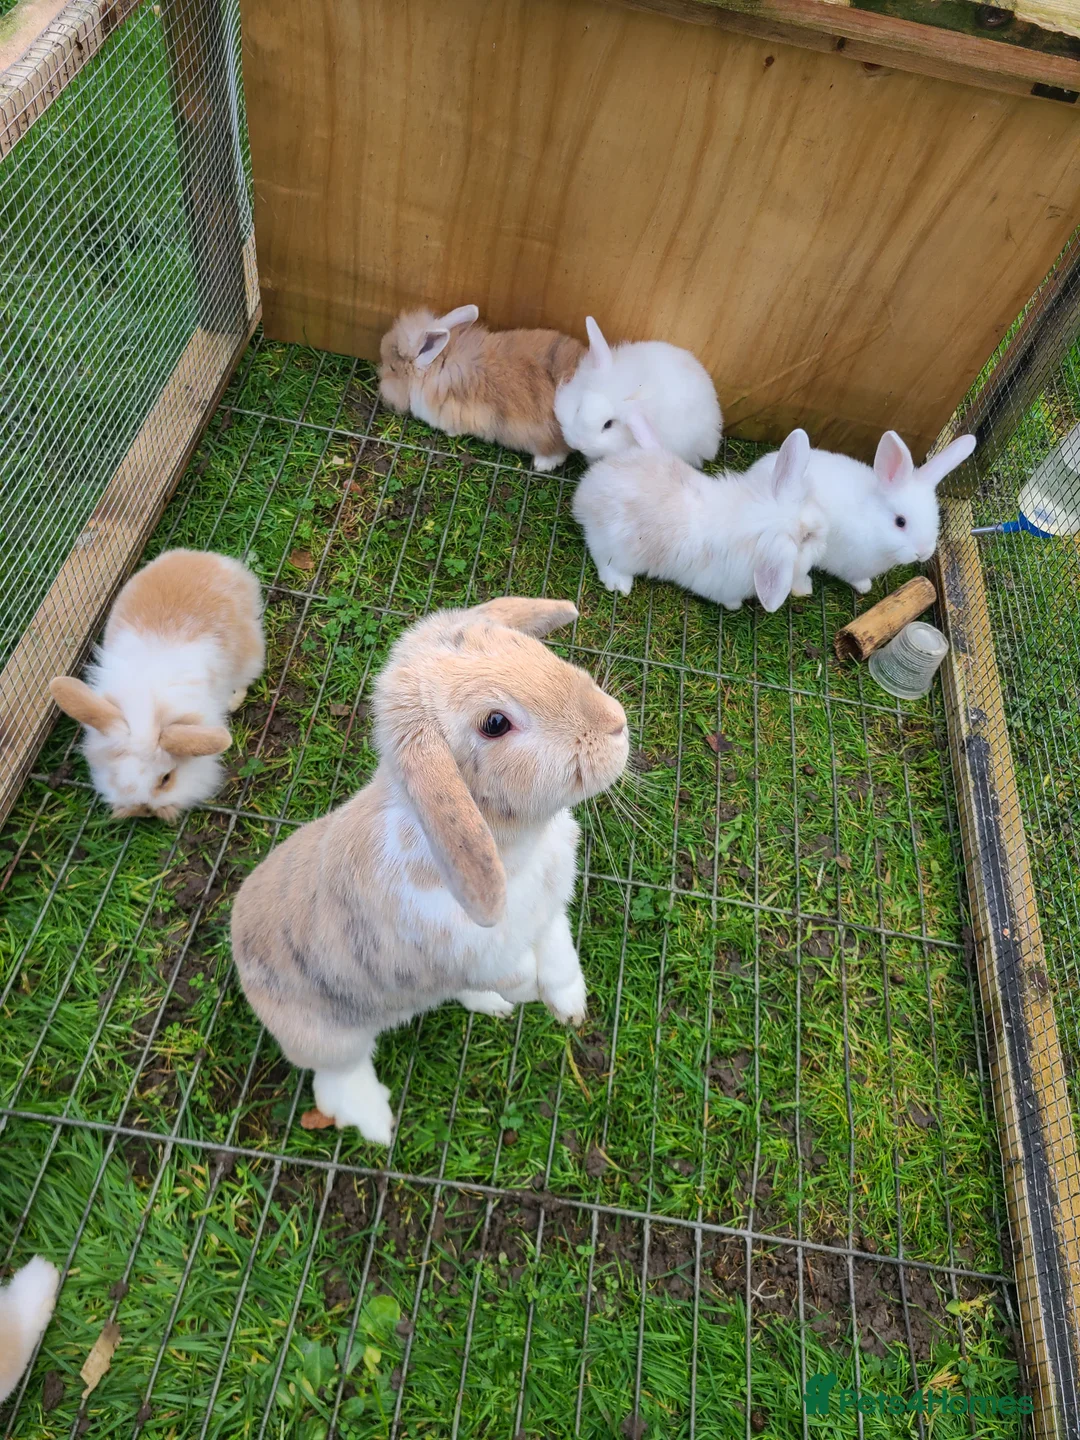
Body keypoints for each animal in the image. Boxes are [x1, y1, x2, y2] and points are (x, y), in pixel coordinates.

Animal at [49, 548, 265, 821]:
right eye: (117, 777)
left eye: (166, 779)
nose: (144, 810)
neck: (148, 710)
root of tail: (206, 558)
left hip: (250, 653)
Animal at [231, 596, 629, 1145]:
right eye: (495, 723)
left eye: (528, 648)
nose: (616, 723)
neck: (515, 852)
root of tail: (235, 938)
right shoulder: (475, 949)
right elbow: (518, 972)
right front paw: (532, 995)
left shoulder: (549, 915)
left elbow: (560, 957)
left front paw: (569, 1010)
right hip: (326, 1038)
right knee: (336, 1083)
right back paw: (378, 1124)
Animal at [572, 417, 825, 612]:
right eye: (805, 538)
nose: (825, 532)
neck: (758, 518)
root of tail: (585, 493)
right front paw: (735, 606)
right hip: (615, 550)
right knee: (602, 557)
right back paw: (619, 583)